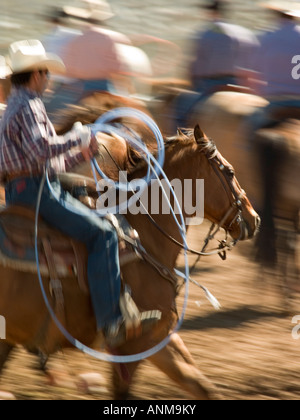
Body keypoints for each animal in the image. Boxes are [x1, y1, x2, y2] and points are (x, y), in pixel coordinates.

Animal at [0, 120, 258, 398]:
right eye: (230, 172)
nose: (255, 219)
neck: (144, 236)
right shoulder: (137, 345)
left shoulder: (162, 337)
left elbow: (203, 387)